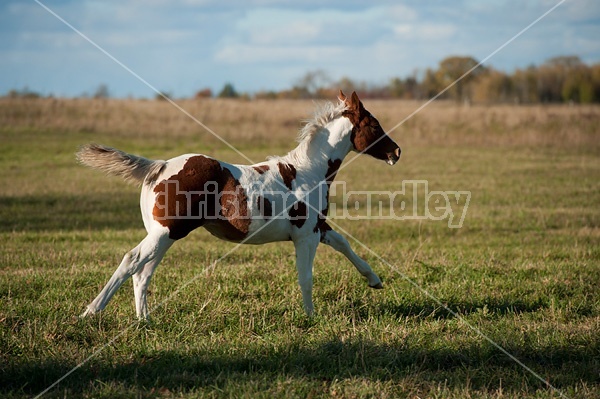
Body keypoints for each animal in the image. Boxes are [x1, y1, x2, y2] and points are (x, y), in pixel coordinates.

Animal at [77, 91, 400, 322]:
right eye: (374, 124)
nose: (396, 151)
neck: (308, 171)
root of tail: (160, 166)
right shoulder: (305, 235)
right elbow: (306, 278)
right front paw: (311, 317)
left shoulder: (317, 228)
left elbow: (344, 244)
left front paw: (374, 280)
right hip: (166, 232)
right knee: (132, 260)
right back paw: (91, 311)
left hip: (164, 235)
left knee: (143, 273)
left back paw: (144, 320)